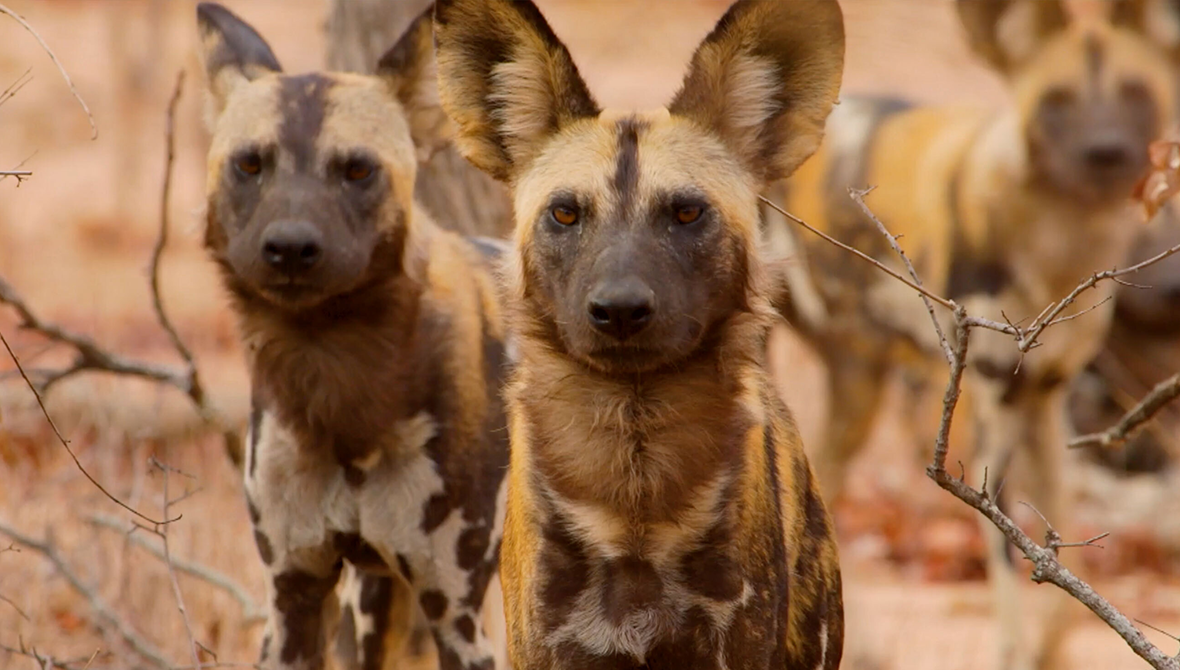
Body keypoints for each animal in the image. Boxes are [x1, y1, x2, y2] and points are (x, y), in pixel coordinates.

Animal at [198, 5, 512, 670]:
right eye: (249, 164)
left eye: (358, 169)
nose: (290, 247)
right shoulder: (293, 599)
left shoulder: (457, 616)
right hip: (376, 611)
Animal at [764, 1, 1180, 670]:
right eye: (1056, 100)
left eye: (1136, 92)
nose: (1106, 153)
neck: (1056, 245)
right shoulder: (987, 421)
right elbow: (1008, 574)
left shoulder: (1042, 402)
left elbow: (1063, 578)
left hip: (856, 387)